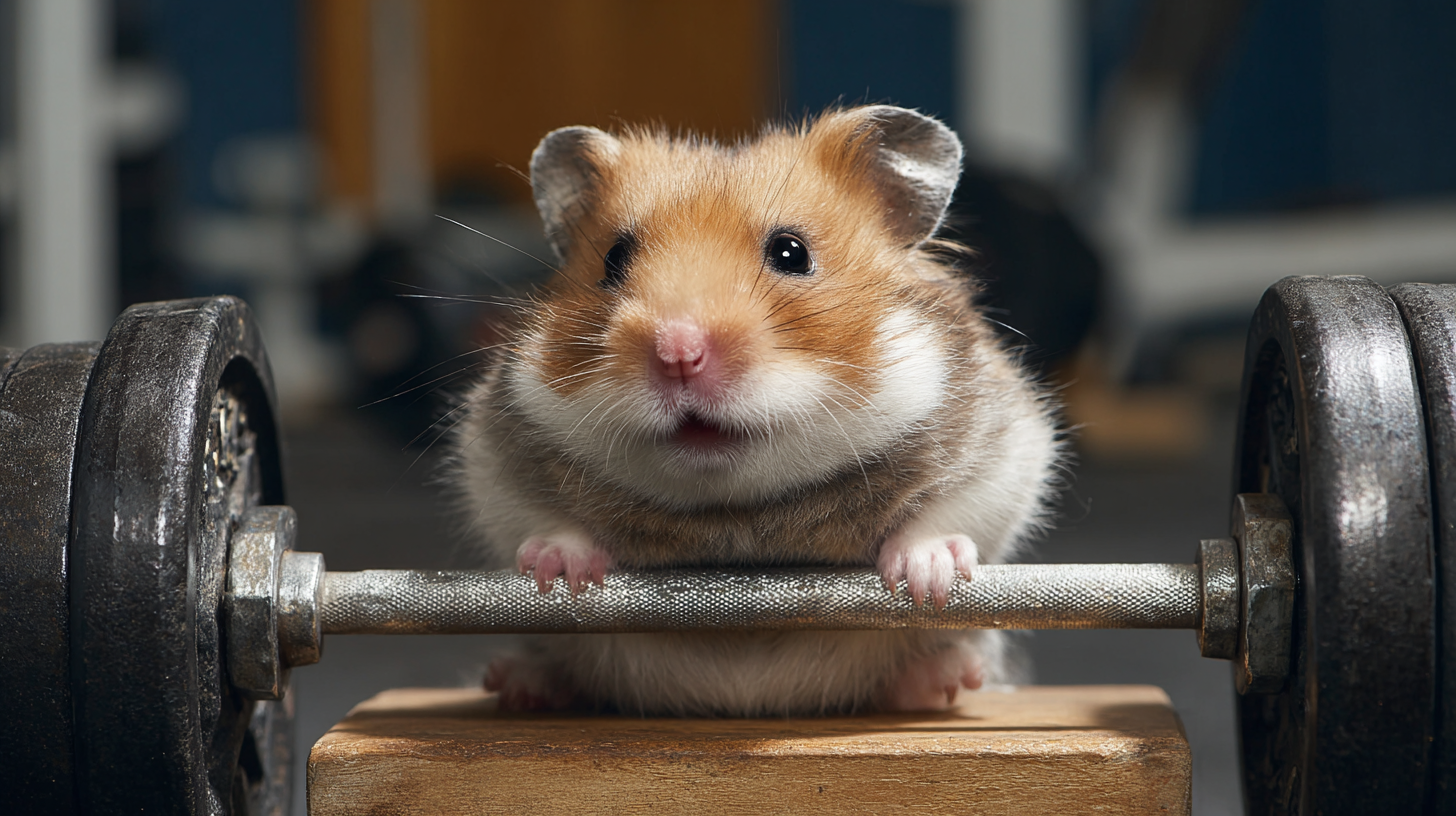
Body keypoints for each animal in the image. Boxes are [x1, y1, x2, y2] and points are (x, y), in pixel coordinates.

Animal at [452, 105, 1061, 716]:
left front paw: (927, 579)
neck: (736, 509)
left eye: (792, 253)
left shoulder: (1005, 447)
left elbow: (950, 514)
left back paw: (945, 677)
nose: (677, 353)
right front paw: (556, 573)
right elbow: (541, 521)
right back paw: (519, 682)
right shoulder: (494, 461)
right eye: (613, 259)